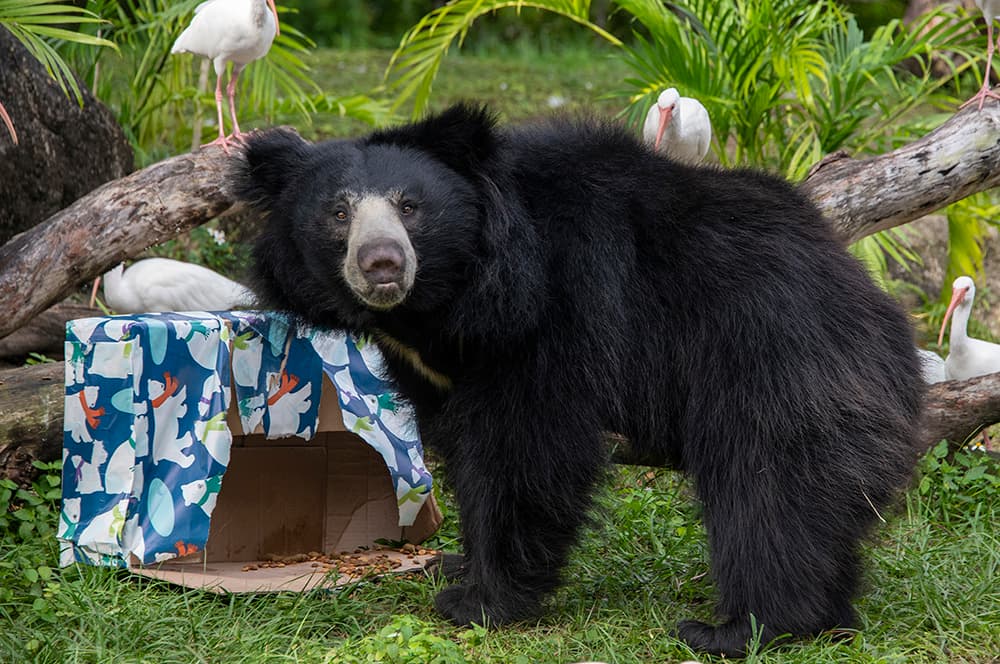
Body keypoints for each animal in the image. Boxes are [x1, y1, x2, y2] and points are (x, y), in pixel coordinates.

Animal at [231, 104, 924, 656]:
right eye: (337, 212)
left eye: (410, 206)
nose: (382, 264)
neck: (444, 305)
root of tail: (879, 312)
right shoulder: (439, 364)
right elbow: (467, 451)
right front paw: (456, 563)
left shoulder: (551, 312)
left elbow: (528, 447)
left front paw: (479, 602)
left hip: (774, 368)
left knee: (767, 492)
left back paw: (741, 629)